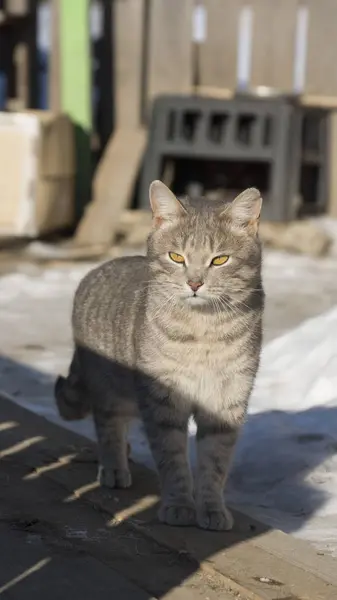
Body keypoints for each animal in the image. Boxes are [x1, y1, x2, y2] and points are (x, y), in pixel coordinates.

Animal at [55, 180, 264, 532]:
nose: (194, 283)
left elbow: (215, 462)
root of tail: (95, 269)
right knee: (108, 424)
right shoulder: (162, 400)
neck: (204, 331)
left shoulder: (227, 398)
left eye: (220, 260)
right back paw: (113, 466)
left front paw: (212, 508)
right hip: (111, 389)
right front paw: (179, 505)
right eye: (176, 256)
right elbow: (172, 458)